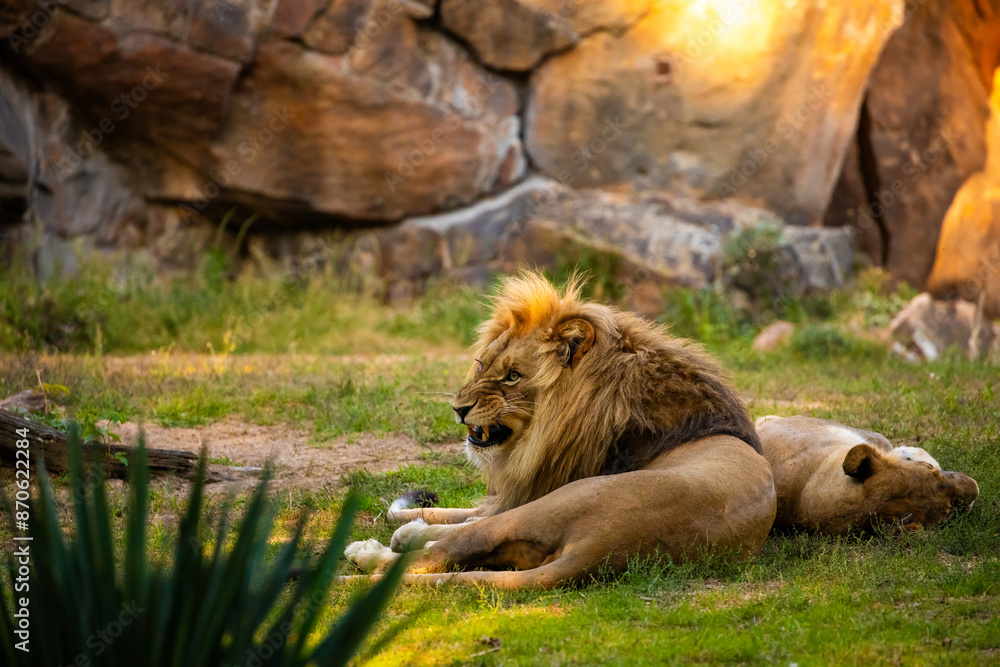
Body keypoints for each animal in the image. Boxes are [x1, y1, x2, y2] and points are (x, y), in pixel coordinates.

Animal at [344, 272, 777, 589]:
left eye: (513, 376)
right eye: (482, 365)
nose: (458, 409)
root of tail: (602, 549)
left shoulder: (527, 494)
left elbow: (460, 519)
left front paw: (407, 530)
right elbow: (447, 511)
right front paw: (415, 518)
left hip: (555, 502)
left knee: (447, 548)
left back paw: (367, 552)